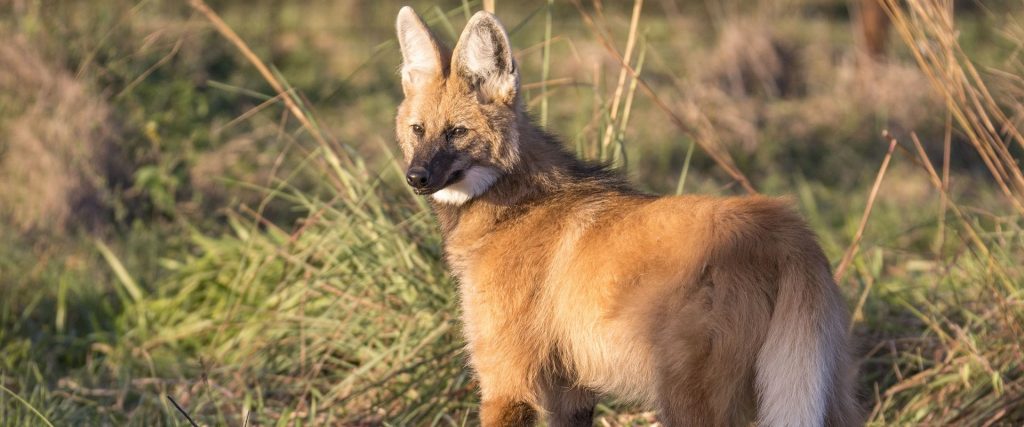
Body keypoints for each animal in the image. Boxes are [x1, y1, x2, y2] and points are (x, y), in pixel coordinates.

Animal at [395, 7, 860, 425]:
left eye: (457, 132)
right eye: (418, 130)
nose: (416, 177)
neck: (515, 206)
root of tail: (786, 228)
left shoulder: (508, 385)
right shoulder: (572, 393)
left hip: (690, 398)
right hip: (817, 387)